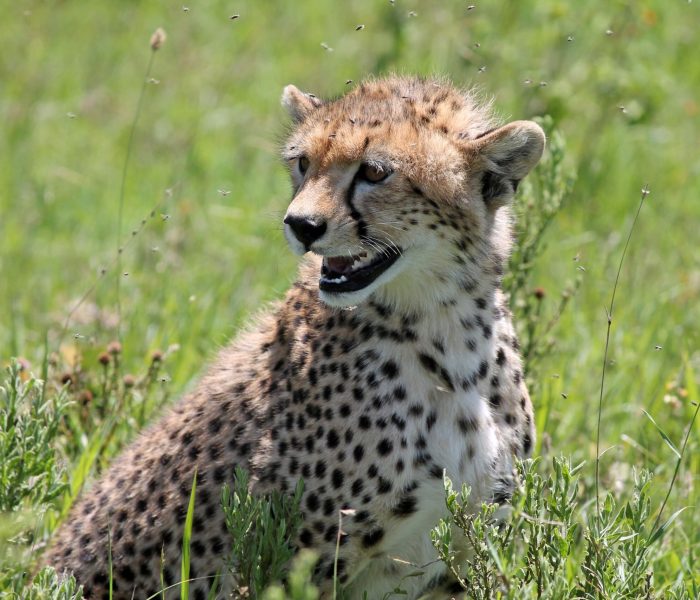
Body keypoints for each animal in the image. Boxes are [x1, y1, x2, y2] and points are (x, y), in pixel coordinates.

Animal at [43, 75, 544, 599]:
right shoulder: (296, 564)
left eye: (375, 172)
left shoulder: (458, 560)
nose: (301, 225)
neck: (443, 332)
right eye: (304, 163)